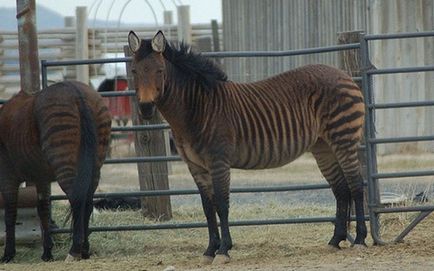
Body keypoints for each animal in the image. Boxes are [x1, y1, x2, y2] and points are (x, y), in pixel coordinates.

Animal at [0, 81, 112, 264]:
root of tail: (75, 90)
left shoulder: (7, 176)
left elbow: (10, 214)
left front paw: (8, 254)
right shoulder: (41, 178)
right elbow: (43, 211)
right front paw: (47, 252)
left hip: (63, 157)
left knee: (77, 199)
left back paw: (74, 251)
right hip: (95, 163)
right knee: (88, 202)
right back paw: (85, 250)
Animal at [128, 31, 366, 266]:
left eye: (159, 71)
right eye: (134, 71)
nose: (146, 109)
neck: (197, 109)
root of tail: (344, 74)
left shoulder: (218, 162)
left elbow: (222, 205)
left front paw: (223, 250)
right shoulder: (196, 166)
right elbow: (208, 208)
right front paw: (210, 250)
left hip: (343, 138)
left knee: (356, 185)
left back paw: (360, 240)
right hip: (323, 147)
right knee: (341, 189)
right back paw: (335, 240)